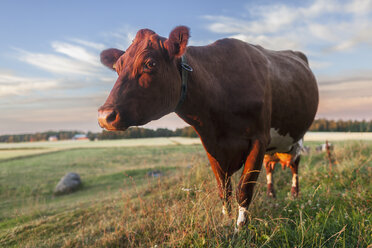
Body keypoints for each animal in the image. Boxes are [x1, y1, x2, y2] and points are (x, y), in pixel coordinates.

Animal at [97, 26, 318, 228]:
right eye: (117, 67)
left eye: (150, 63)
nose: (104, 116)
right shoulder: (211, 144)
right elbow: (224, 189)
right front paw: (226, 220)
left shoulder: (259, 138)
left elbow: (244, 189)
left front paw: (240, 227)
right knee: (270, 165)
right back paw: (272, 195)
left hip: (298, 138)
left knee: (294, 165)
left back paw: (294, 194)